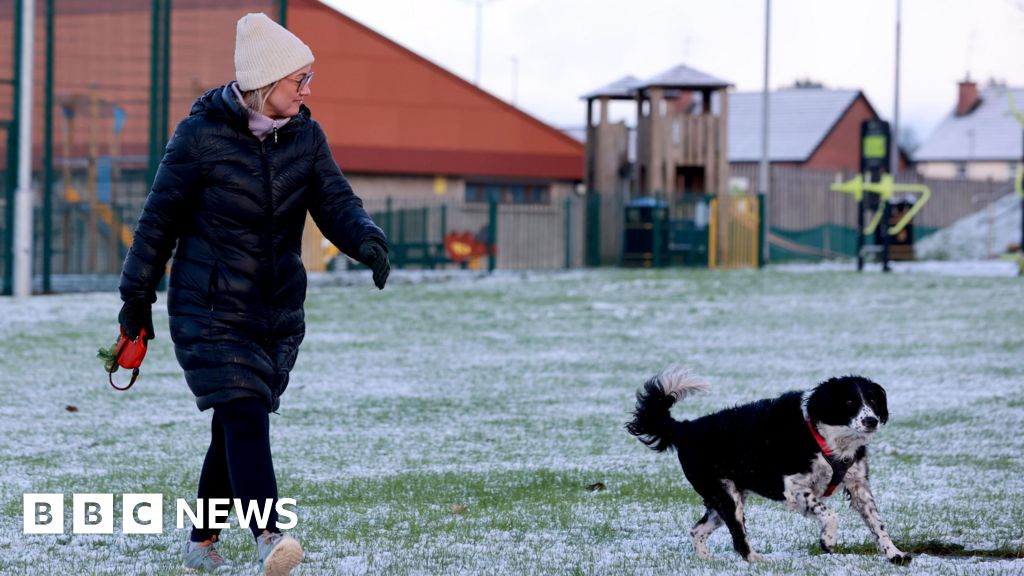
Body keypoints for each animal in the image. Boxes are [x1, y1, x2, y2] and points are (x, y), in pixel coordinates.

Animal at [626, 366, 909, 561]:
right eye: (849, 401)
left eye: (872, 400)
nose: (871, 420)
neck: (827, 436)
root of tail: (685, 428)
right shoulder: (794, 488)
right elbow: (829, 513)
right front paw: (828, 539)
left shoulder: (859, 485)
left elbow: (877, 523)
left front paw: (894, 553)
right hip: (727, 497)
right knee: (738, 540)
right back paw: (757, 561)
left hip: (724, 499)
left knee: (697, 530)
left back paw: (707, 561)